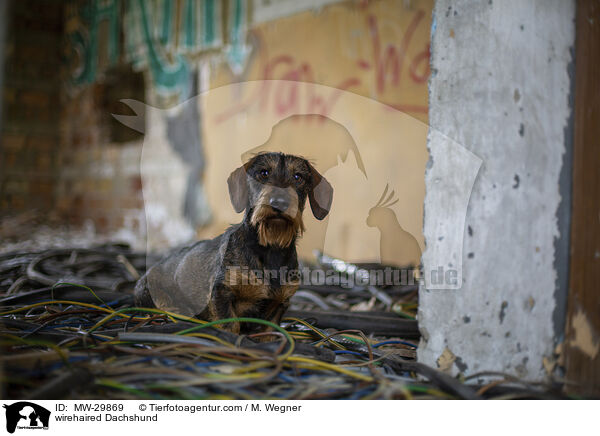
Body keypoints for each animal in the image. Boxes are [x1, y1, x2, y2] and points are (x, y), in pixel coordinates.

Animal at [134, 152, 336, 334]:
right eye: (263, 173)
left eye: (298, 177)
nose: (279, 202)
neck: (270, 247)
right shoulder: (221, 293)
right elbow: (230, 326)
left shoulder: (279, 305)